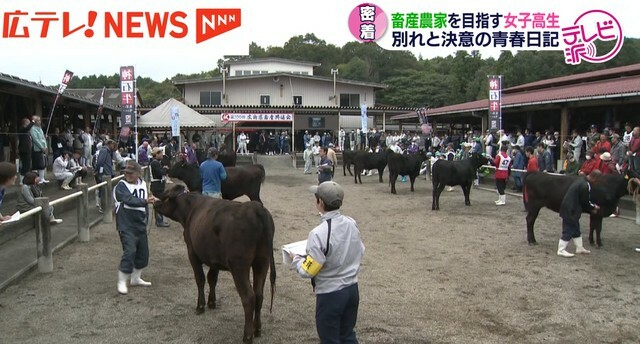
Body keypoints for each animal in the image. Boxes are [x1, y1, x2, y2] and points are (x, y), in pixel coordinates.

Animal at [156, 187, 276, 342]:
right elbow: (212, 278)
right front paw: (212, 302)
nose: (155, 203)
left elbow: (200, 279)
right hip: (262, 261)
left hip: (239, 265)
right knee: (259, 295)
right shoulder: (214, 259)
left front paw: (200, 306)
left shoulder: (192, 252)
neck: (190, 208)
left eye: (165, 196)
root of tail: (256, 208)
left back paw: (247, 335)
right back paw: (257, 329)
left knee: (249, 297)